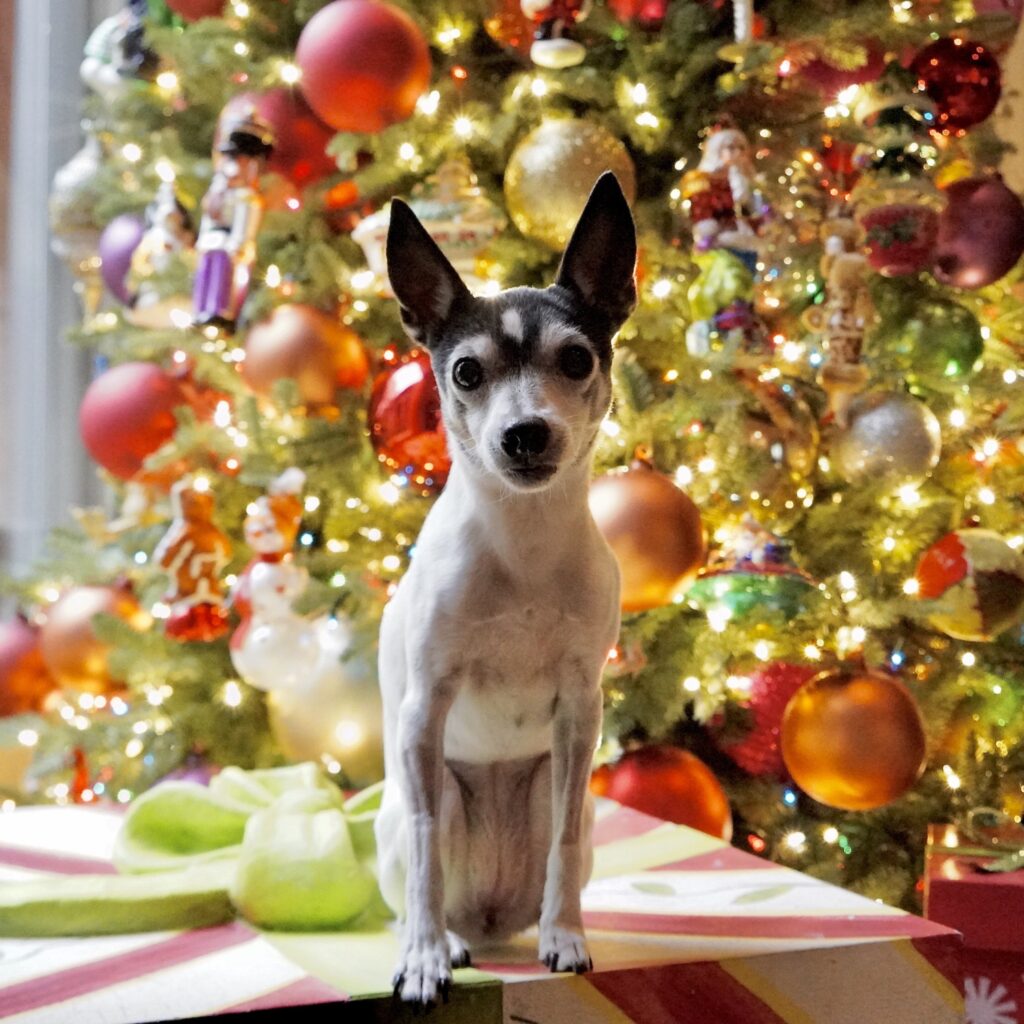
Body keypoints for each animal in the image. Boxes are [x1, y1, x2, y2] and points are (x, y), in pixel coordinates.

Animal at [372, 169, 634, 1007]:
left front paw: (567, 937)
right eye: (466, 372)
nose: (524, 434)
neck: (522, 545)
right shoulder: (424, 712)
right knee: (419, 877)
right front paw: (423, 959)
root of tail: (490, 917)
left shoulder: (579, 711)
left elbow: (565, 841)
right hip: (425, 794)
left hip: (553, 776)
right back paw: (446, 941)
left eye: (576, 360)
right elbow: (426, 858)